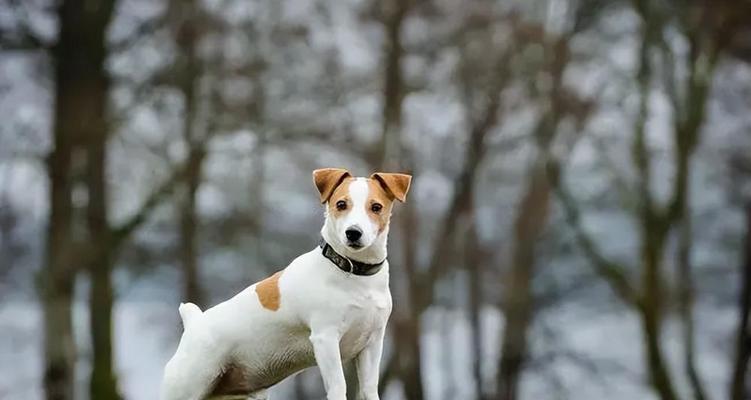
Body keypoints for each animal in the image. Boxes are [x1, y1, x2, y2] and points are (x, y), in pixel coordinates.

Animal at [161, 168, 414, 400]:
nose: (353, 233)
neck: (354, 273)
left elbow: (369, 388)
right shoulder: (325, 338)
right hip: (190, 383)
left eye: (376, 207)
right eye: (341, 204)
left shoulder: (372, 344)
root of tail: (194, 322)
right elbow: (338, 386)